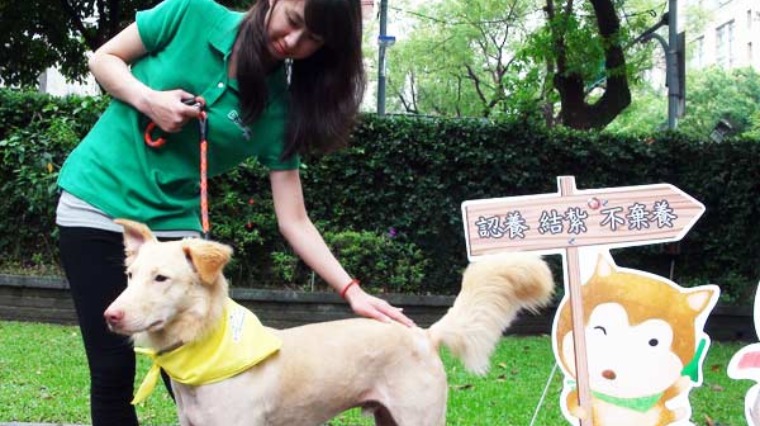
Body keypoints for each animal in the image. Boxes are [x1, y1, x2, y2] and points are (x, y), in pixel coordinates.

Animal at [102, 220, 552, 426]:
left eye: (162, 278)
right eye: (130, 276)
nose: (110, 316)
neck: (207, 350)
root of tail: (424, 335)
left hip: (419, 418)